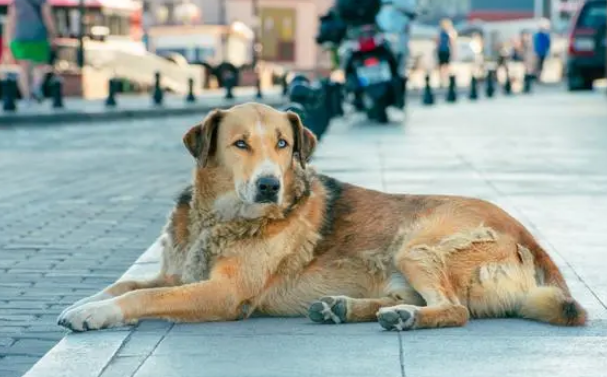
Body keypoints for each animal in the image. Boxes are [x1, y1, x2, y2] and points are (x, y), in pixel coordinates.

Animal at [58, 101, 588, 330]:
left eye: (283, 144)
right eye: (240, 144)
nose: (269, 185)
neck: (220, 219)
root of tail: (531, 239)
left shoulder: (223, 293)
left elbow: (144, 297)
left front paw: (95, 314)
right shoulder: (177, 272)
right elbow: (127, 284)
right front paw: (84, 301)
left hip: (419, 246)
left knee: (456, 310)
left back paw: (403, 318)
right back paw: (347, 308)